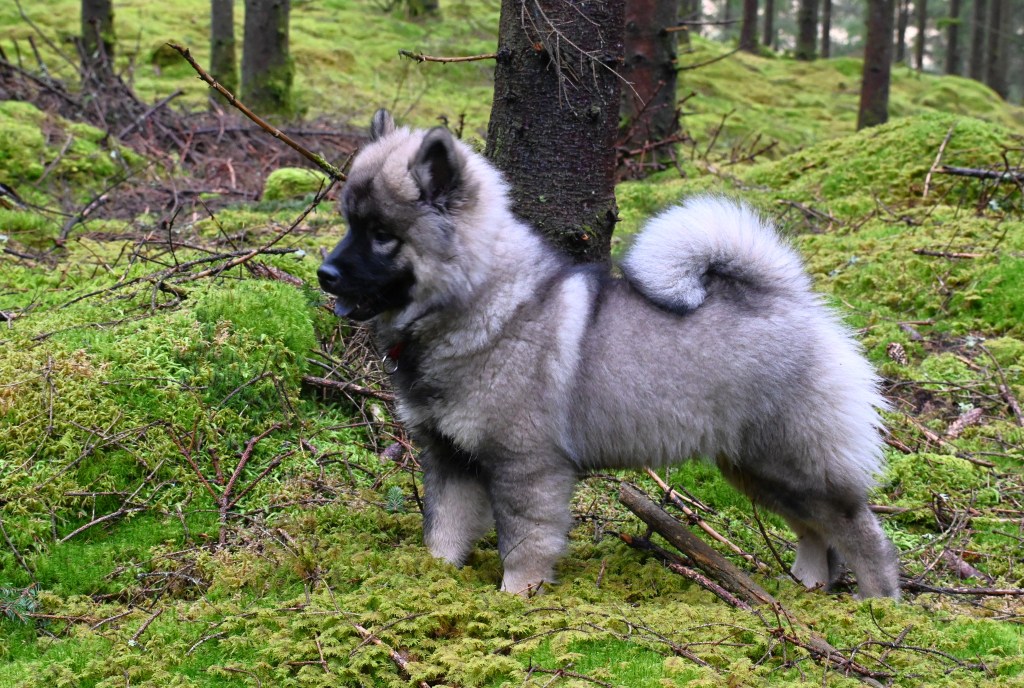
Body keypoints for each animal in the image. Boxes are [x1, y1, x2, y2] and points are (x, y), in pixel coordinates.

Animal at [317, 109, 900, 599]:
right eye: (349, 223)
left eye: (382, 234)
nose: (324, 274)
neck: (480, 300)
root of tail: (791, 299)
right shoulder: (450, 458)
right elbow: (443, 529)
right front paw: (433, 579)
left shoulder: (526, 467)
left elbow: (524, 541)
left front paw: (516, 596)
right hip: (754, 468)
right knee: (815, 531)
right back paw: (808, 588)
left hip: (793, 461)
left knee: (861, 531)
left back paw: (876, 607)